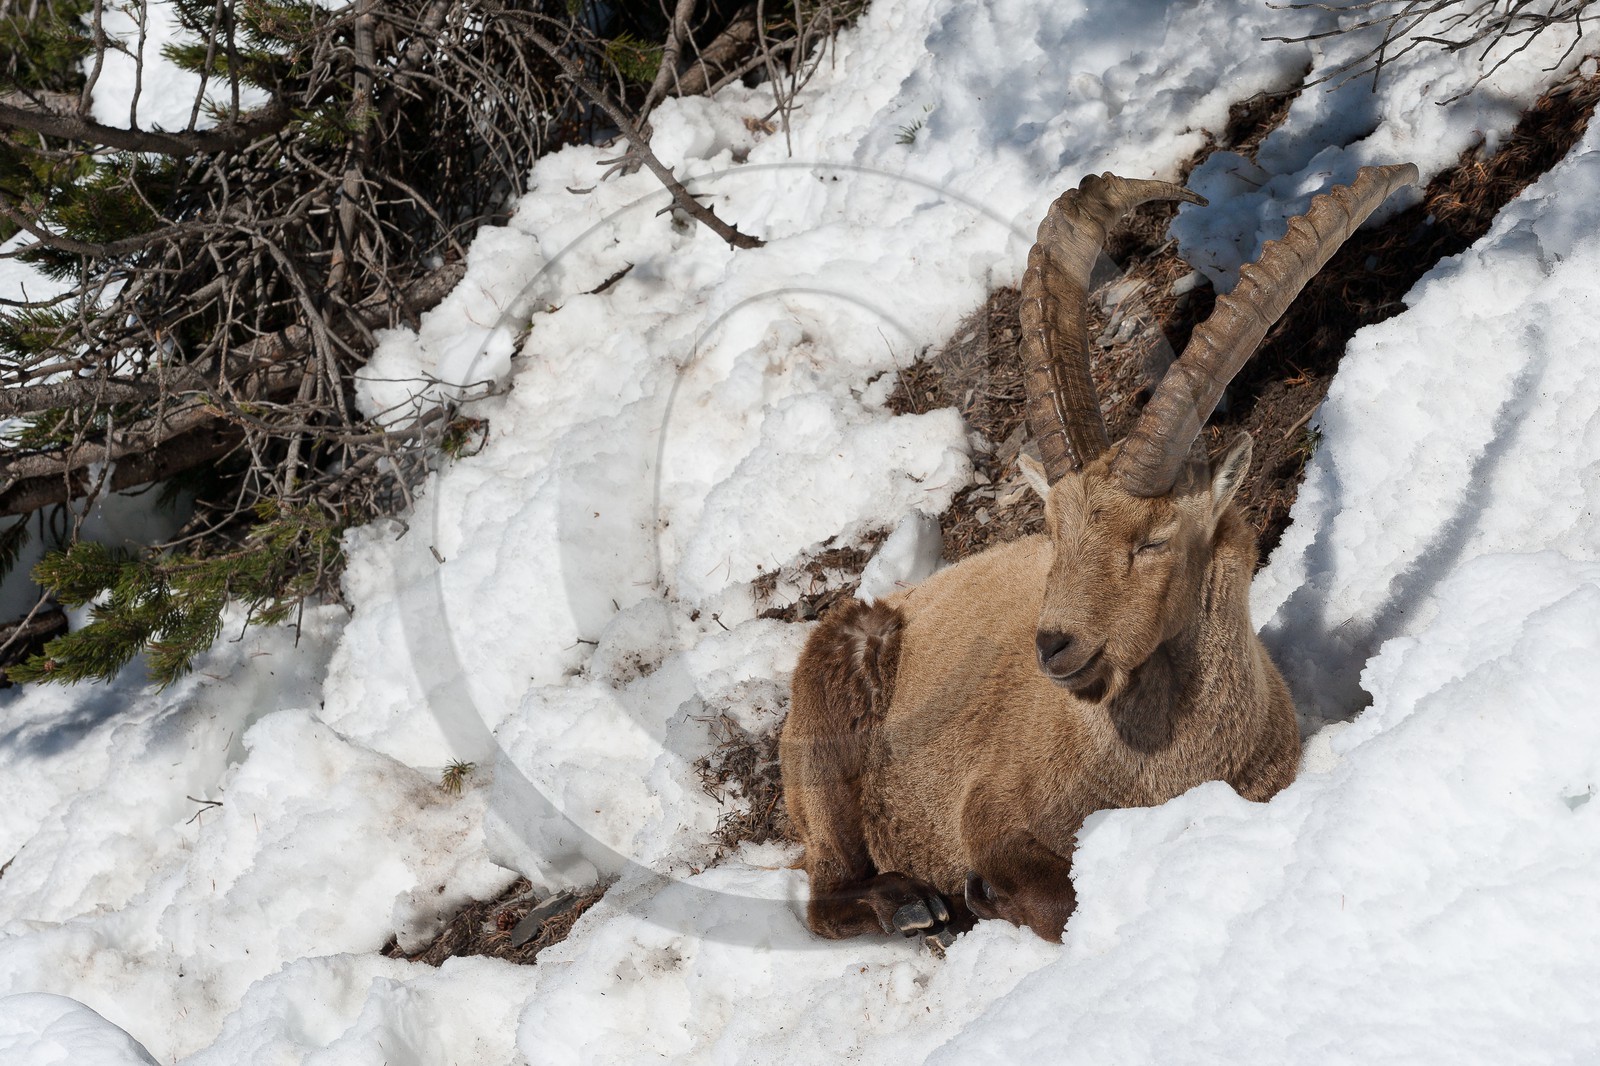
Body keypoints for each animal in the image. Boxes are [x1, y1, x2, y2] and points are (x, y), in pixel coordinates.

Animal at [780, 163, 1418, 943]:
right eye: (1054, 532)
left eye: (1154, 540)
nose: (1054, 645)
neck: (1148, 772)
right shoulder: (987, 808)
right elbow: (1054, 898)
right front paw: (979, 893)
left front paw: (984, 897)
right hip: (828, 736)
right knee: (822, 897)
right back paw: (907, 904)